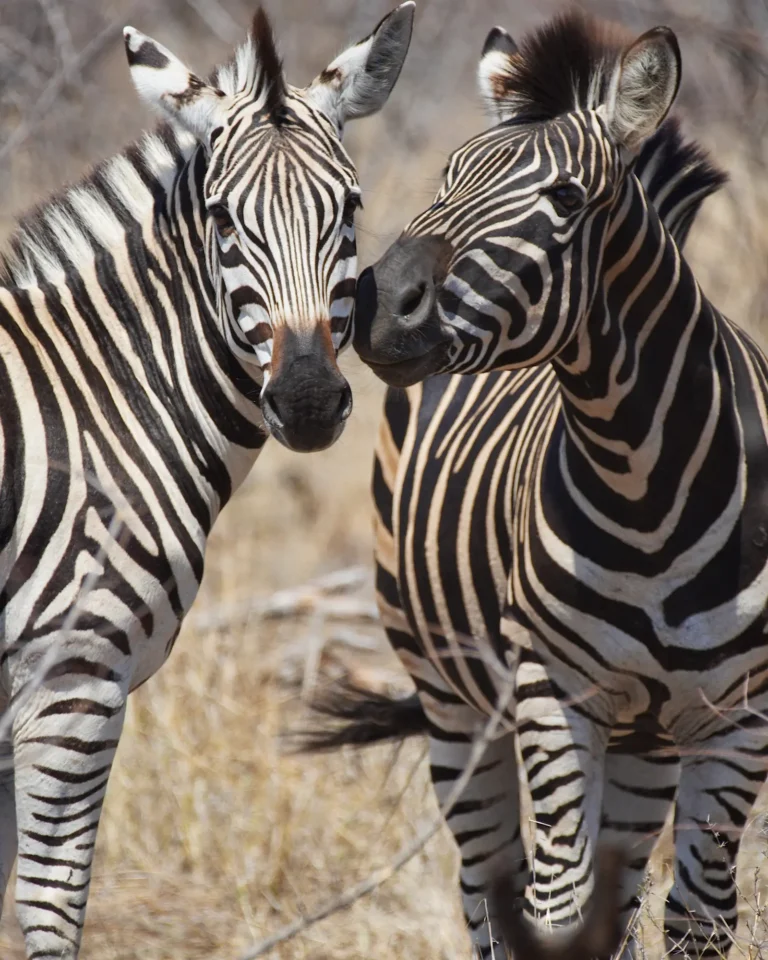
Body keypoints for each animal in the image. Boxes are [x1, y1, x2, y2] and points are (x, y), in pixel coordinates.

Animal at [0, 5, 413, 957]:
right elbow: (52, 903)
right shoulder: (71, 681)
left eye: (351, 207)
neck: (91, 405)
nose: (307, 401)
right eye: (224, 220)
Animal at [349, 10, 768, 959]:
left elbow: (697, 918)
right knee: (486, 891)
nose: (377, 305)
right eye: (447, 177)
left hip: (646, 741)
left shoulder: (738, 719)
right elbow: (552, 906)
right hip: (453, 703)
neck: (643, 478)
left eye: (567, 201)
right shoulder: (553, 691)